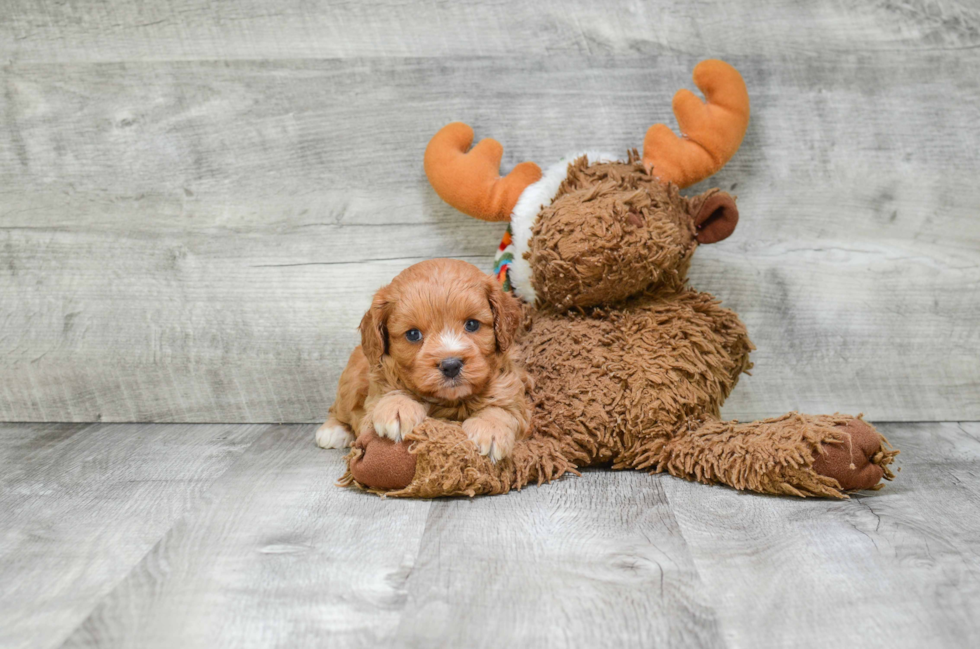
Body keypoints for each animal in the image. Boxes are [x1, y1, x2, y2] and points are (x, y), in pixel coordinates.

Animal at [316, 258, 528, 460]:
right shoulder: (374, 398)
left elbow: (503, 409)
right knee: (338, 409)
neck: (449, 401)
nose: (451, 365)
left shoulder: (511, 392)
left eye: (472, 324)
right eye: (413, 334)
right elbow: (389, 393)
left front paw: (491, 428)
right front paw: (397, 407)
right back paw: (333, 430)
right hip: (350, 382)